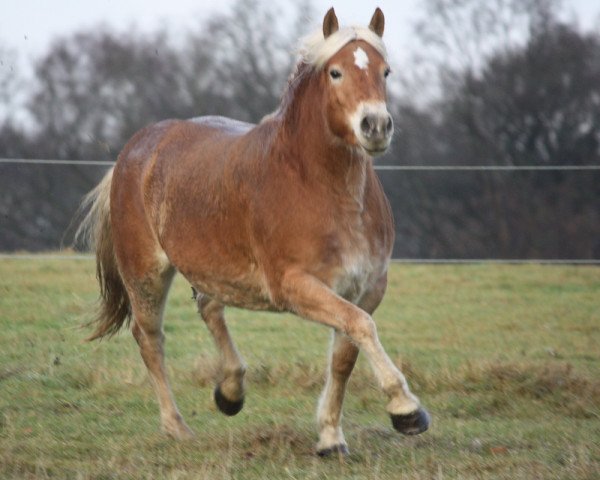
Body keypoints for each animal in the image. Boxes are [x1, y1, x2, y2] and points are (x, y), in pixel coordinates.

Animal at [77, 8, 428, 458]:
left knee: (209, 306)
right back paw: (176, 427)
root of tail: (133, 151)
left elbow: (346, 353)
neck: (318, 185)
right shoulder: (294, 285)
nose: (376, 126)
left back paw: (230, 392)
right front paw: (407, 411)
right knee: (149, 337)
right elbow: (362, 326)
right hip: (145, 272)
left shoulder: (366, 287)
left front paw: (331, 438)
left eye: (386, 71)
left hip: (211, 267)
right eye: (335, 72)